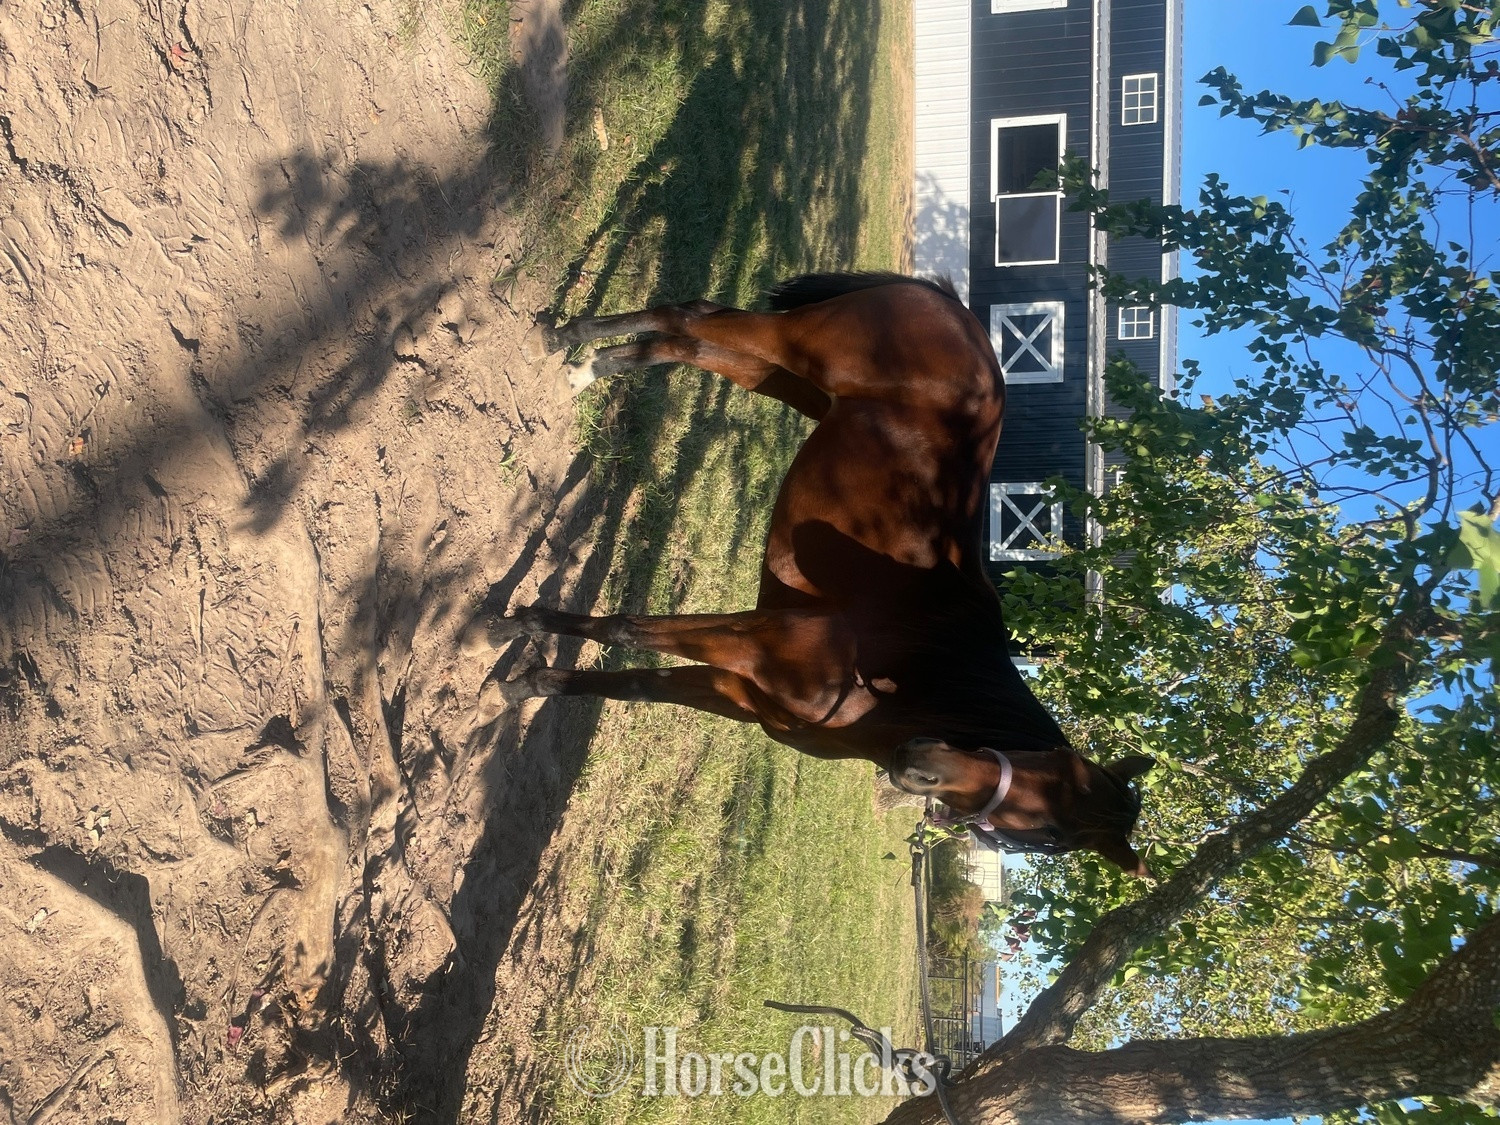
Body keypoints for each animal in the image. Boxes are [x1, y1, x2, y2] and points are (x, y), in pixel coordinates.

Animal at [464, 272, 1154, 876]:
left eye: (1050, 836)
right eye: (1047, 816)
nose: (922, 766)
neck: (897, 684)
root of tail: (960, 315)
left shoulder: (737, 690)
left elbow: (629, 684)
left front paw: (516, 687)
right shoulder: (751, 640)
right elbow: (625, 629)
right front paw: (500, 631)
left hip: (784, 380)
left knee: (690, 342)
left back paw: (584, 365)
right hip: (793, 346)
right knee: (684, 320)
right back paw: (564, 343)